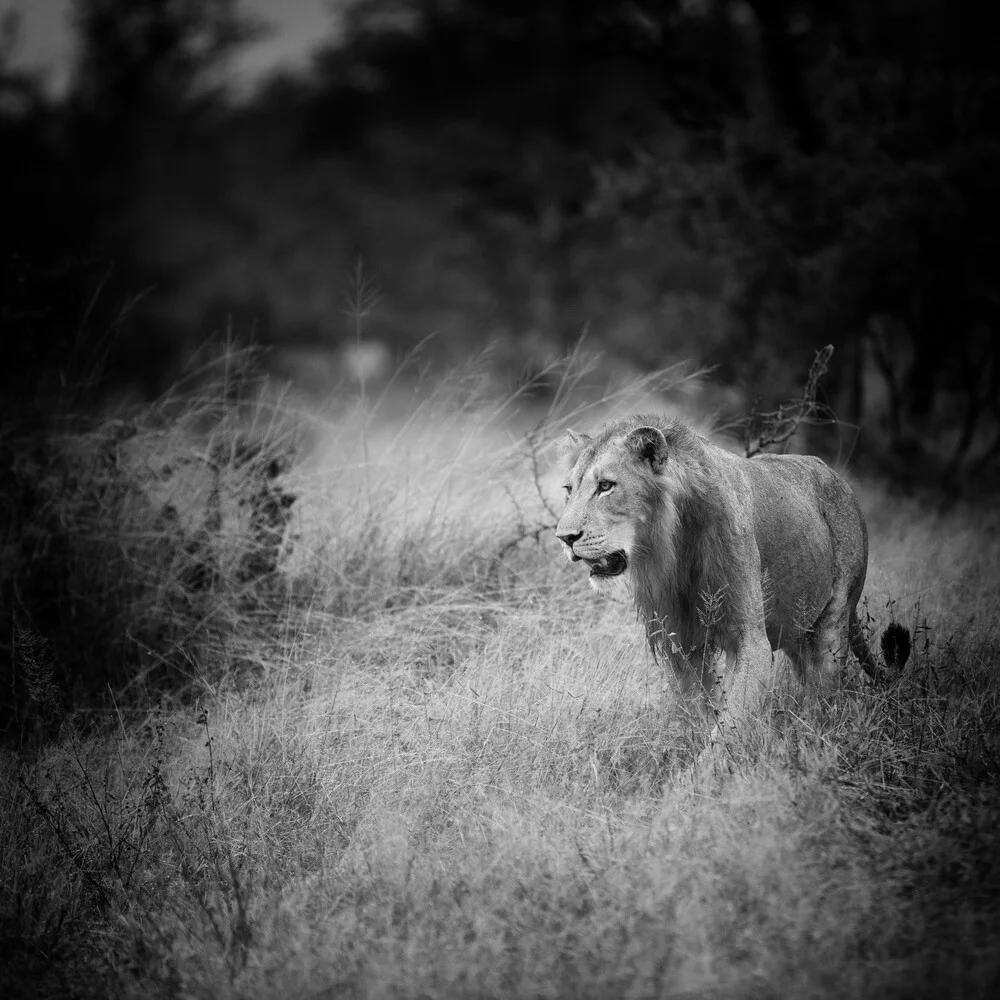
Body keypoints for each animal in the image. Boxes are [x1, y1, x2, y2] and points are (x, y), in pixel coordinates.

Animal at [560, 412, 912, 744]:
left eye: (606, 486)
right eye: (568, 489)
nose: (564, 537)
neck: (673, 543)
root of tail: (838, 478)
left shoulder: (749, 638)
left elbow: (728, 727)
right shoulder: (679, 641)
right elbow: (699, 713)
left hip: (834, 622)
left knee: (823, 699)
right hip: (798, 630)